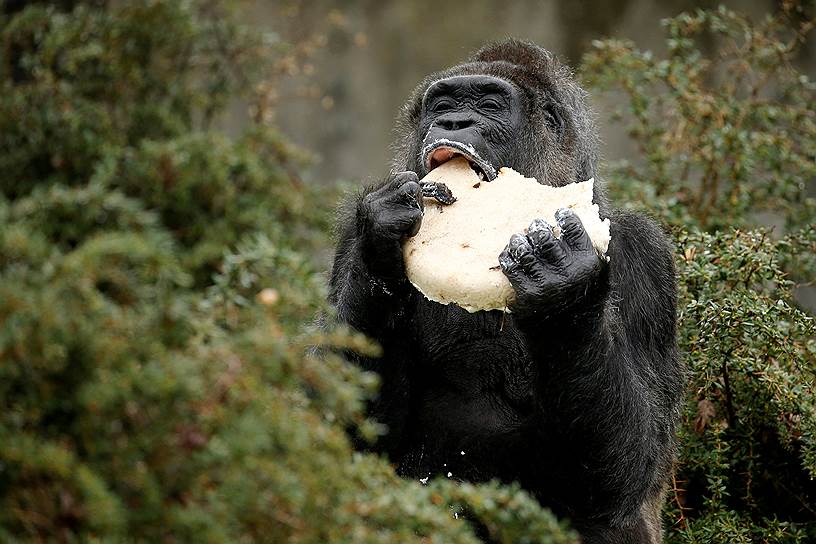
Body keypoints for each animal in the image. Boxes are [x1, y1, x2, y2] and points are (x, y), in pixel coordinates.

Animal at [328, 40, 684, 540]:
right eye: (443, 105)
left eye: (488, 105)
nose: (453, 123)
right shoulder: (348, 237)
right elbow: (350, 436)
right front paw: (382, 238)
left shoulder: (645, 257)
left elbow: (624, 471)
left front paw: (564, 291)